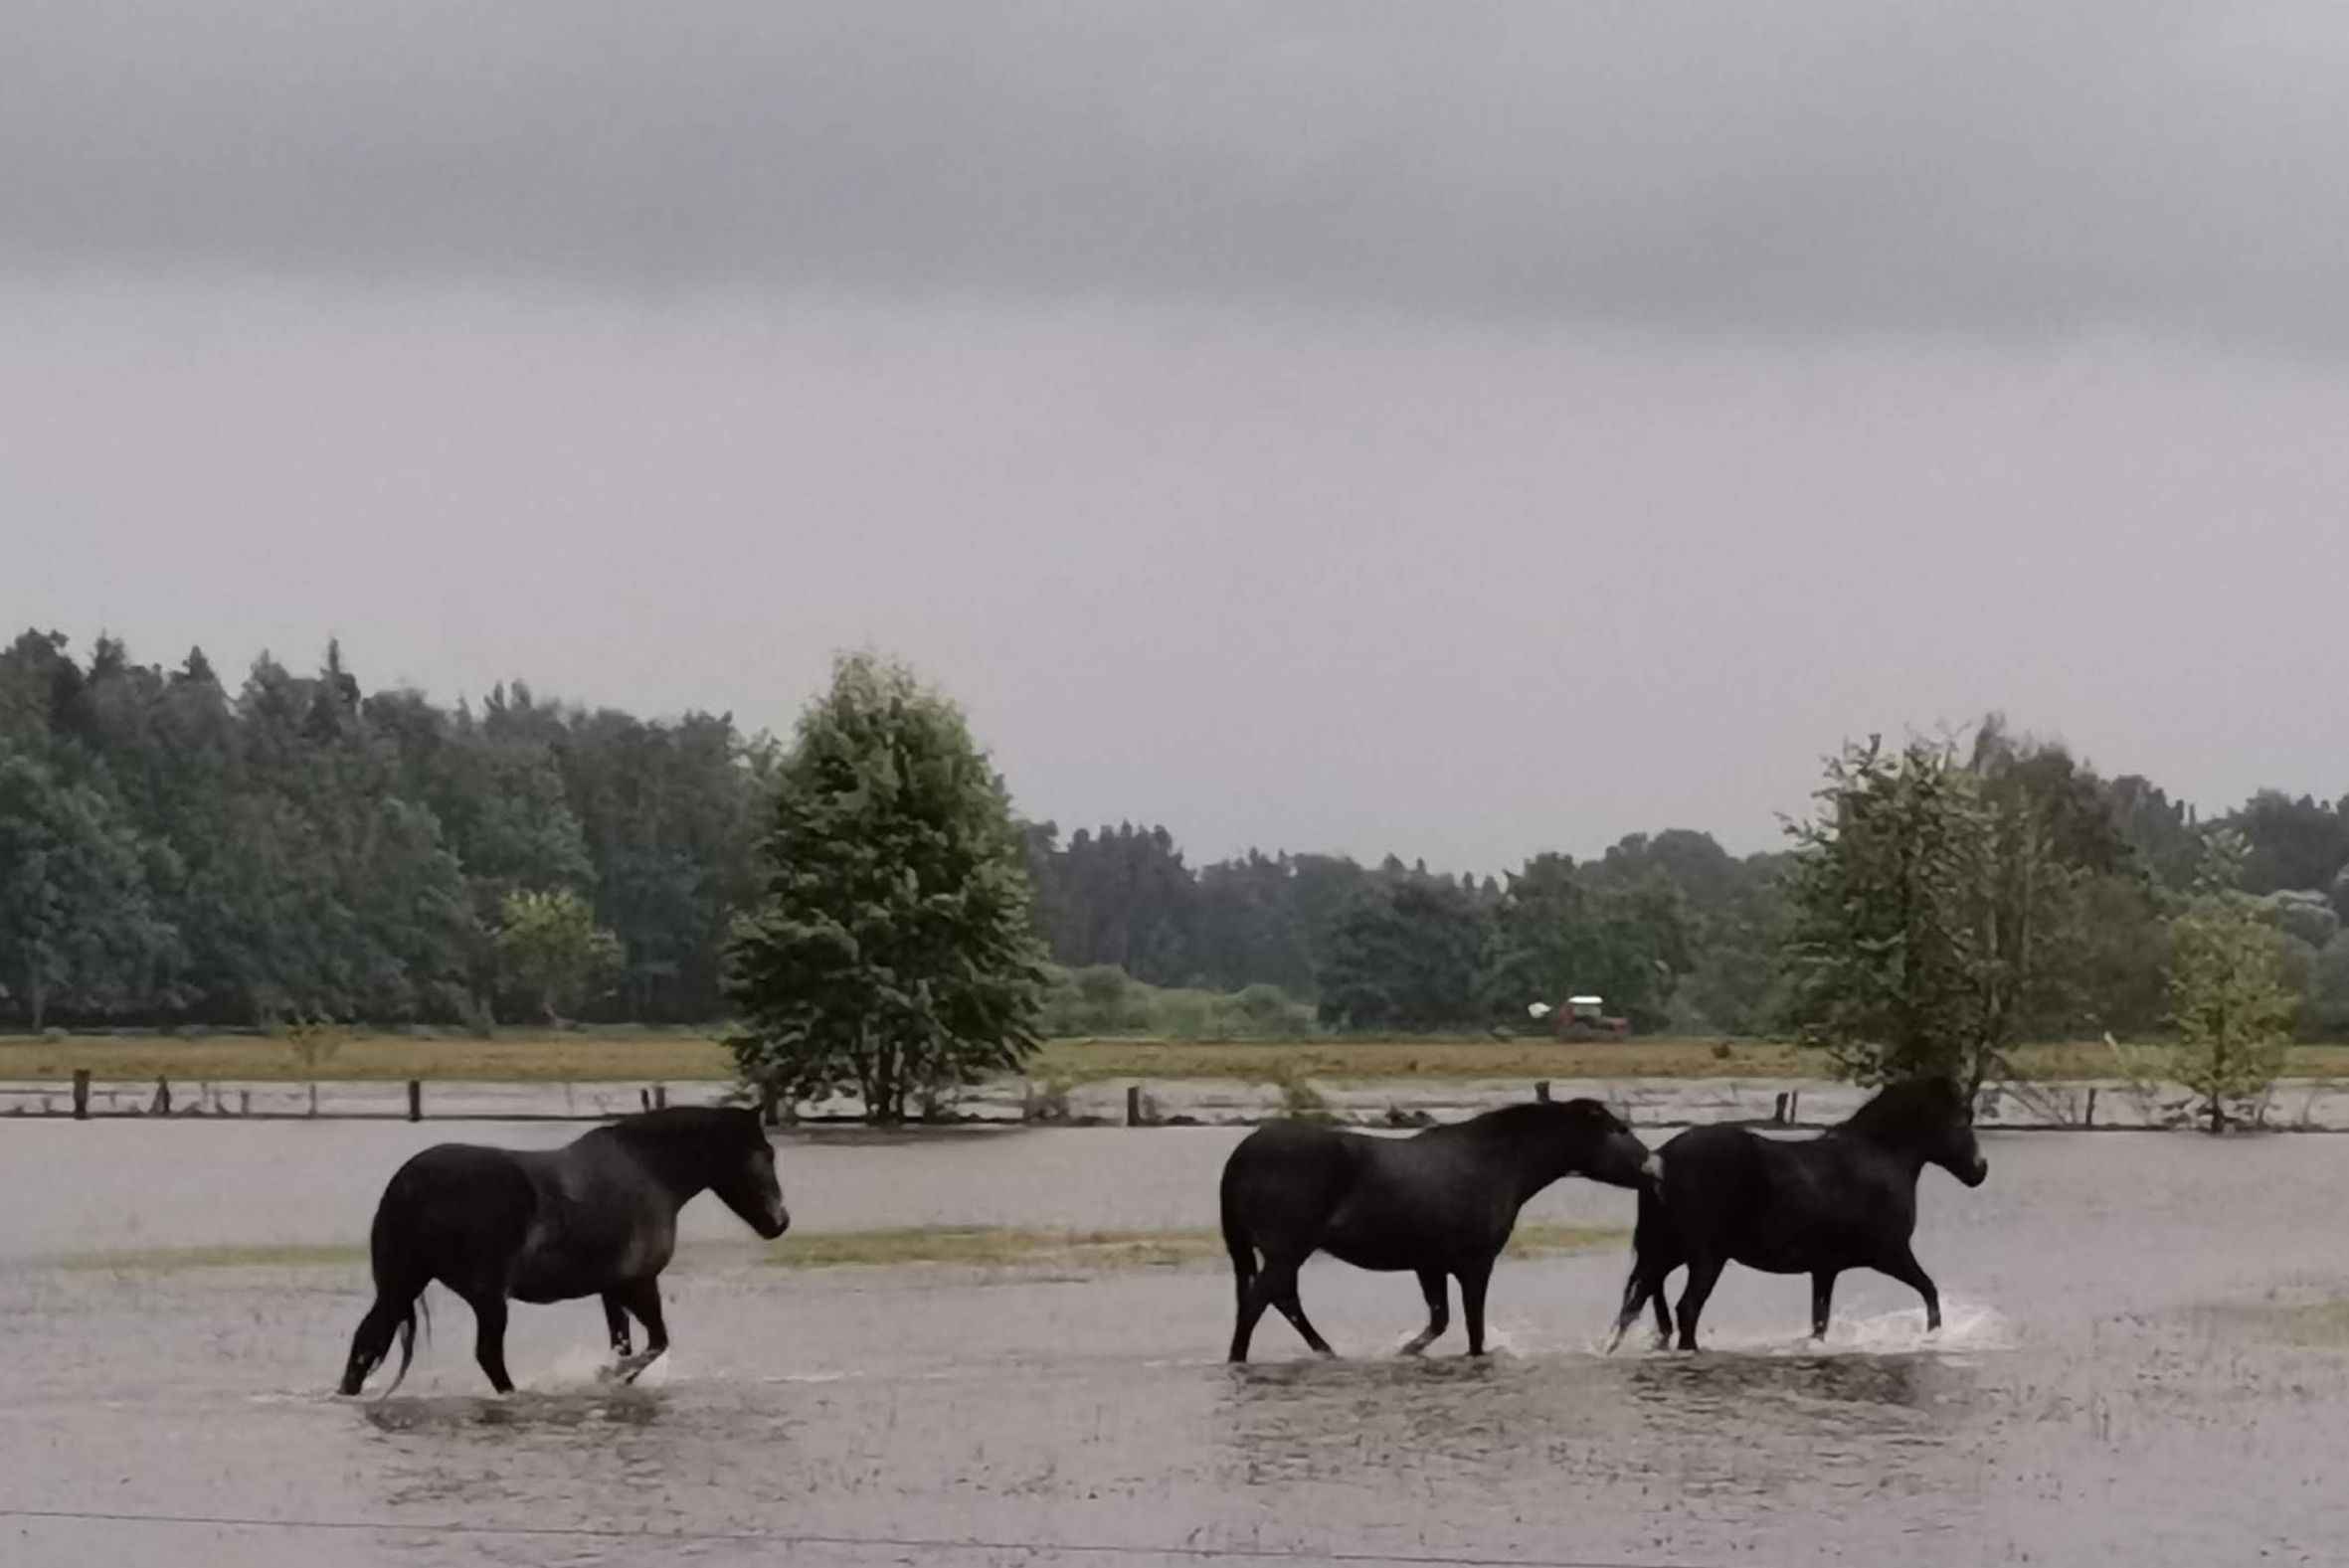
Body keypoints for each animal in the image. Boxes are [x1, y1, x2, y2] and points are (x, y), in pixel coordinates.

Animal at [335, 1103, 789, 1399]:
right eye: (765, 1154)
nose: (780, 1223)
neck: (648, 1172)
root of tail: (409, 1183)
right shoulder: (640, 1283)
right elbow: (655, 1344)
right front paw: (607, 1375)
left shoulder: (612, 1290)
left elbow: (625, 1342)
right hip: (487, 1297)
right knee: (488, 1355)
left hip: (403, 1284)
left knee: (367, 1342)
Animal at [1221, 1103, 1663, 1361]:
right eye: (1620, 1130)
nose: (1655, 1165)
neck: (1500, 1160)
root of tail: (1240, 1155)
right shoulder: (1475, 1263)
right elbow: (1473, 1328)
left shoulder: (1429, 1264)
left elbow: (1439, 1320)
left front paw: (1405, 1352)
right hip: (1287, 1249)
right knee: (1259, 1303)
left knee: (1281, 1300)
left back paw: (1327, 1352)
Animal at [1597, 1070, 1982, 1351]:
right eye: (1961, 1120)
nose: (1980, 1170)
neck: (1878, 1158)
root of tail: (1659, 1160)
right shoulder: (1891, 1254)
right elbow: (1930, 1292)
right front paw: (1933, 1336)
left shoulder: (1825, 1269)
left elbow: (1819, 1321)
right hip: (1705, 1258)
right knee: (1685, 1309)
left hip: (1668, 1252)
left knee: (1640, 1302)